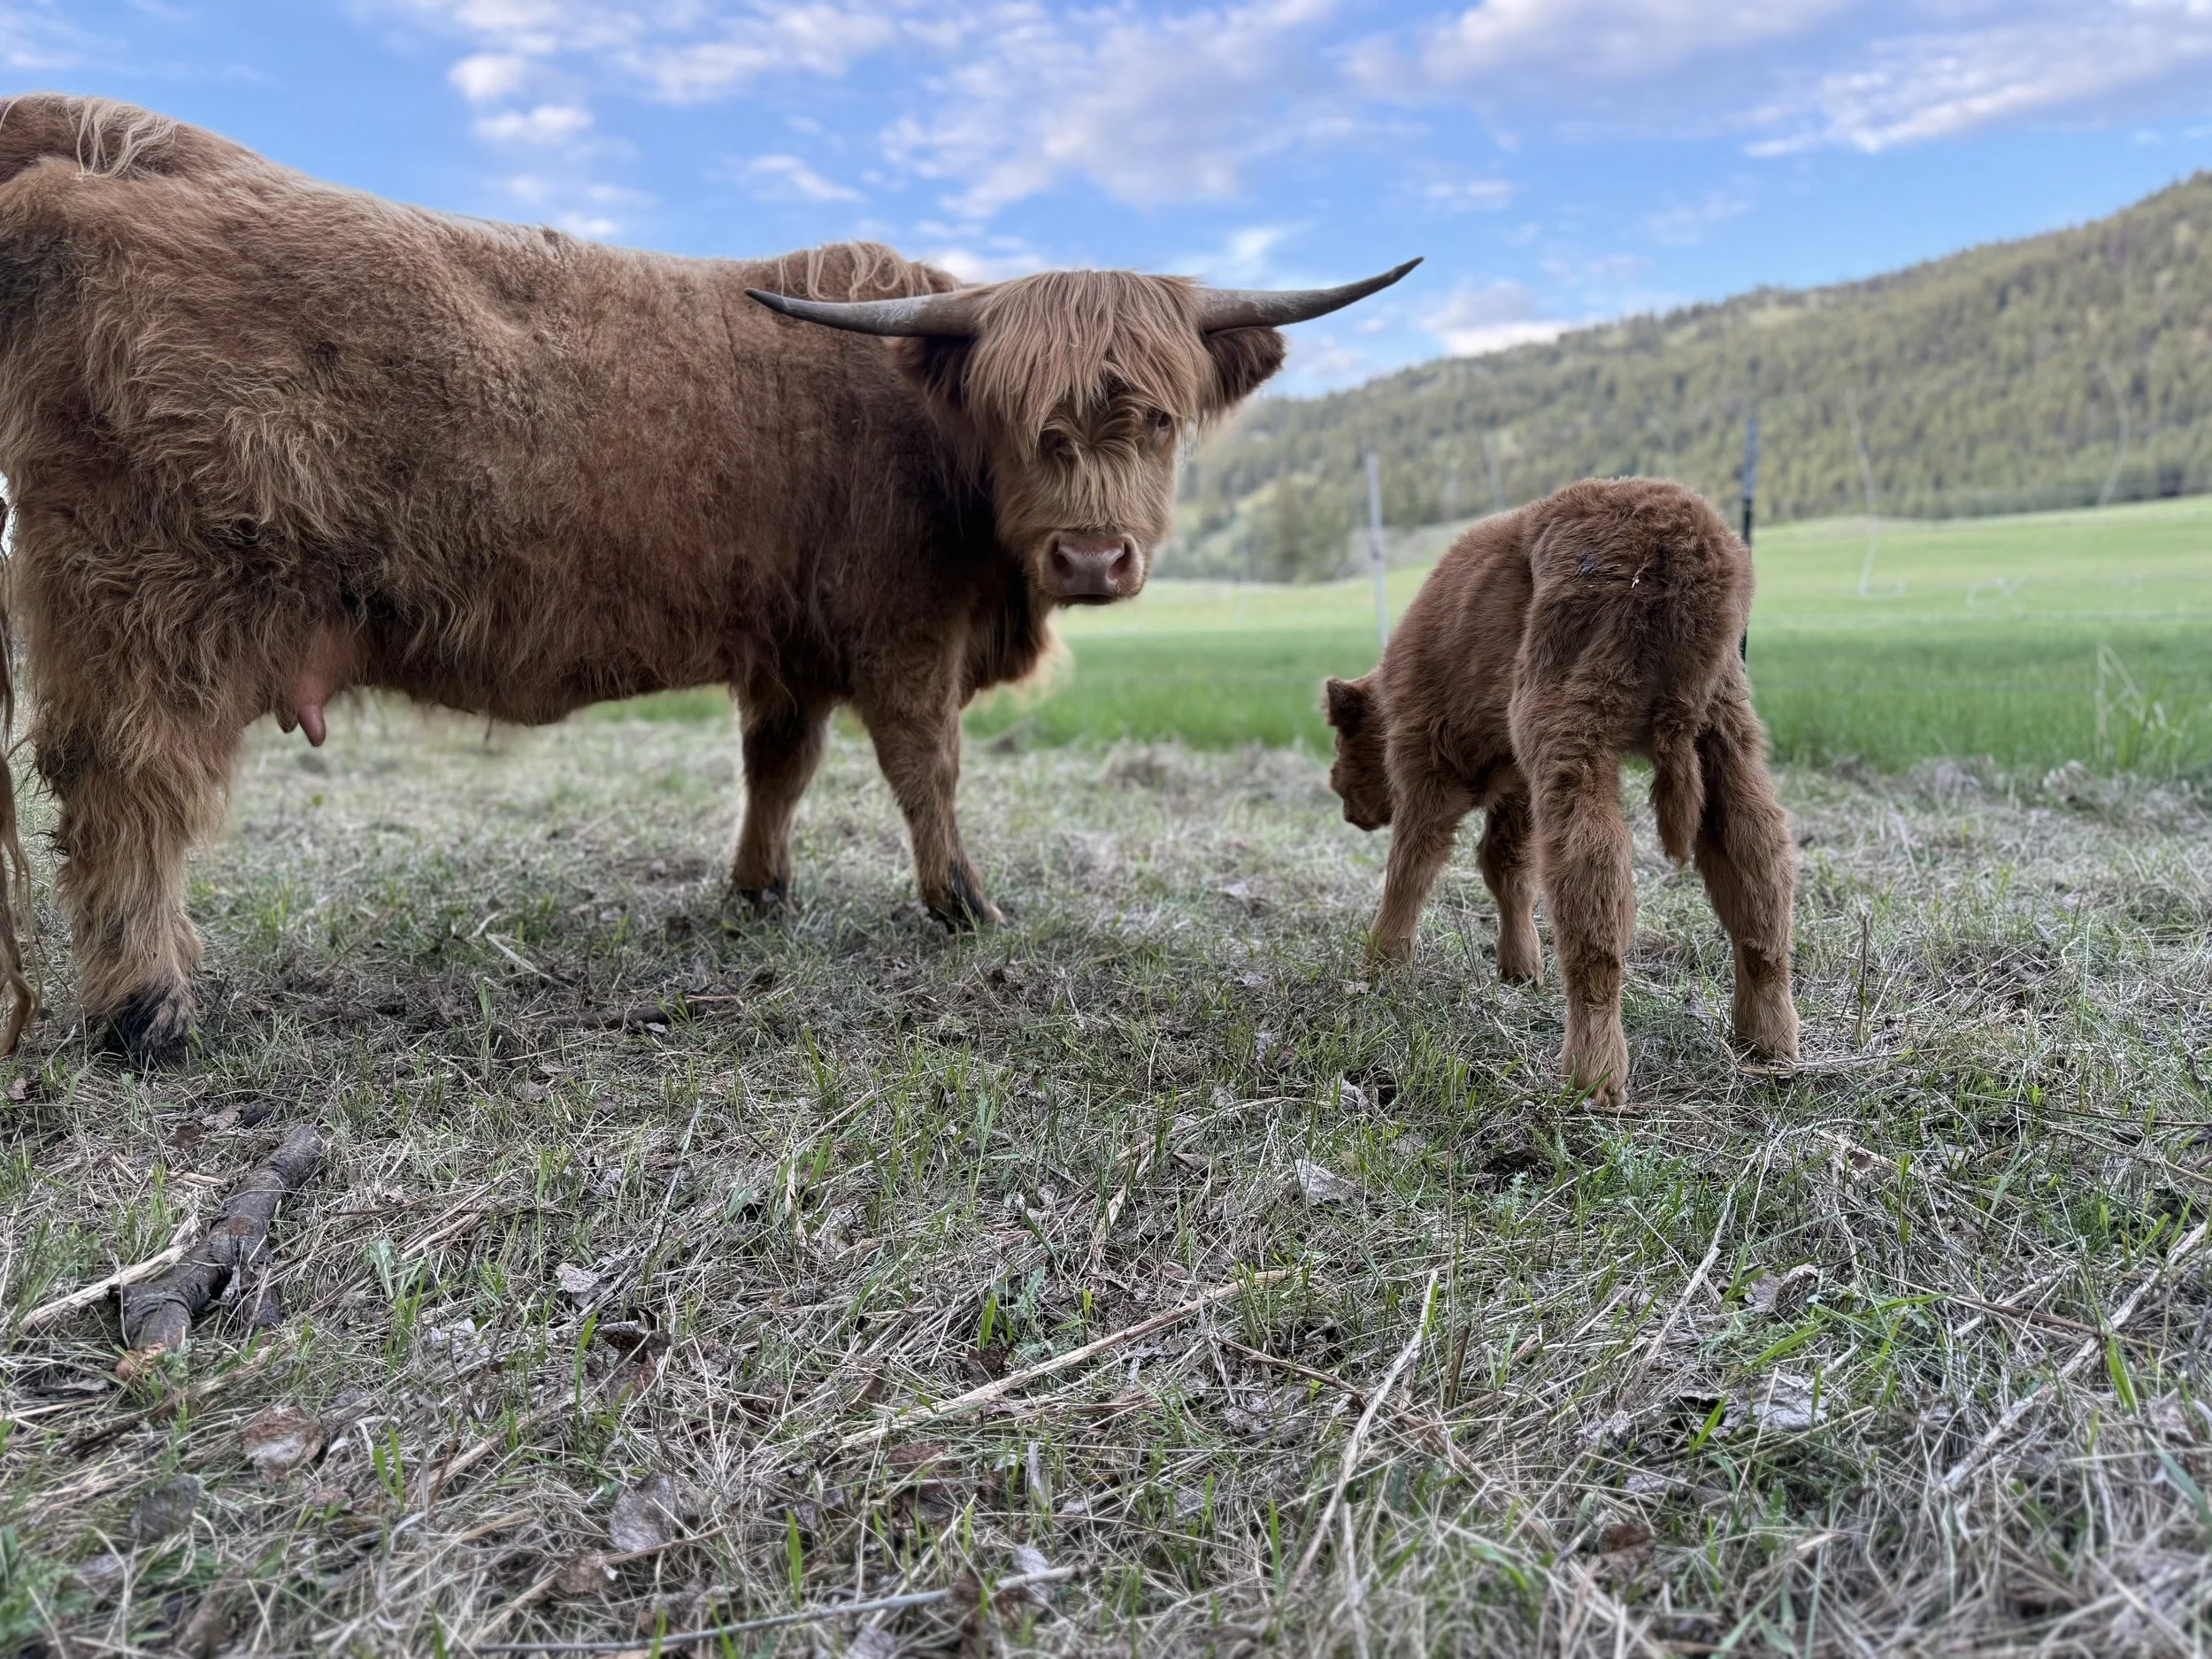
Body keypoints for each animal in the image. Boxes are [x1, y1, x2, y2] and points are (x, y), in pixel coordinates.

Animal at [0, 94, 1416, 1065]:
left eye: (1162, 420)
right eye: (1029, 422)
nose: (1093, 554)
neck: (926, 434)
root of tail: (110, 144)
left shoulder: (789, 644)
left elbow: (776, 768)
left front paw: (757, 894)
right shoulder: (905, 635)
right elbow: (927, 767)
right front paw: (962, 903)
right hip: (152, 613)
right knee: (130, 796)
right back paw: (147, 1012)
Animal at [1322, 477, 1799, 1108]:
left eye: (1343, 734)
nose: (1342, 795)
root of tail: (1687, 533)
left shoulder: (1426, 766)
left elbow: (1413, 865)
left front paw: (1381, 963)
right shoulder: (1517, 791)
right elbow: (1507, 867)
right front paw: (1520, 971)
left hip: (1571, 741)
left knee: (1594, 878)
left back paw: (1591, 1077)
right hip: (1727, 738)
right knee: (1758, 866)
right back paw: (1768, 1047)